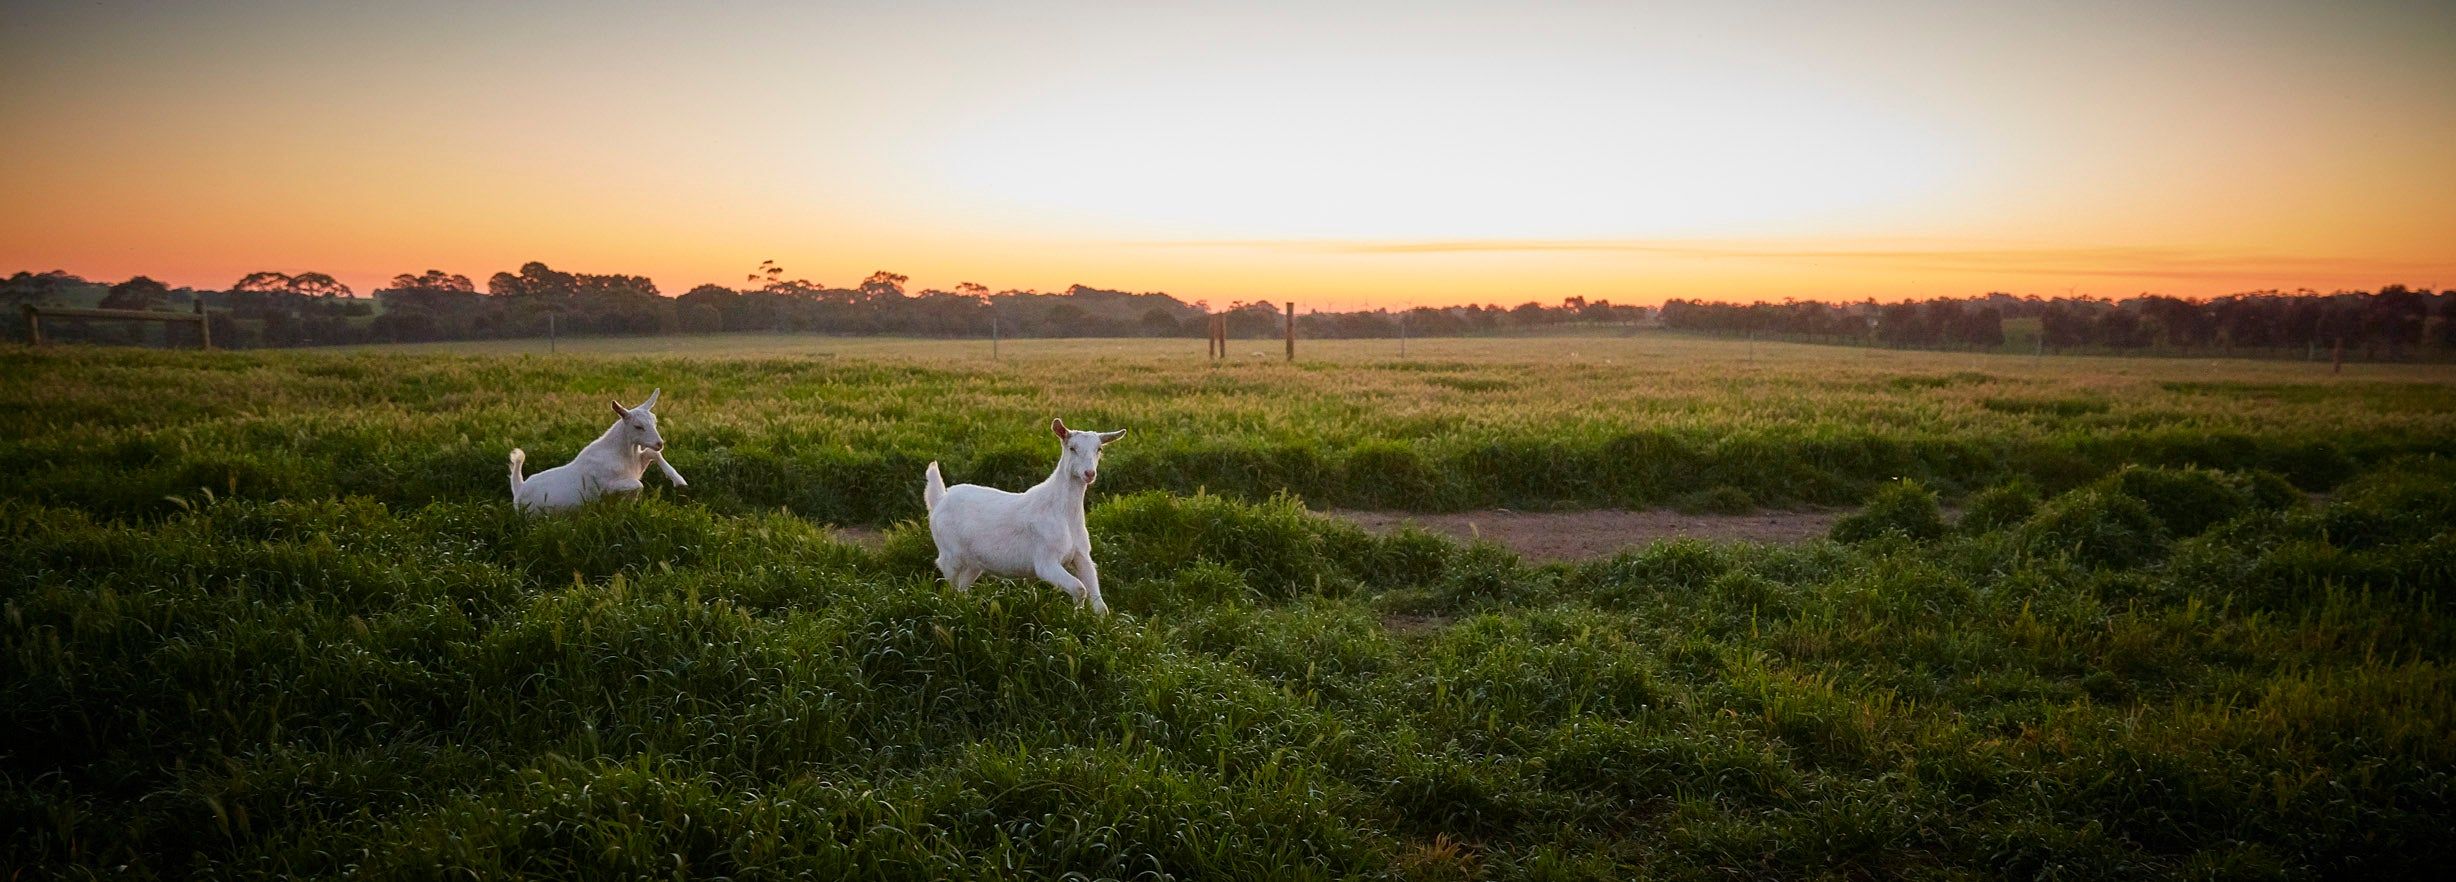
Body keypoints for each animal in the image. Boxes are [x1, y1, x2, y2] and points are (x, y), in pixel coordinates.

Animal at [508, 389, 685, 515]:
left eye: (655, 422)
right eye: (638, 426)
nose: (659, 443)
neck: (621, 453)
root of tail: (519, 488)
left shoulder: (637, 465)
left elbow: (652, 453)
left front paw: (679, 480)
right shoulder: (607, 485)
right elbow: (638, 484)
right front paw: (627, 502)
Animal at [923, 418, 1126, 614]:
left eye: (1099, 449)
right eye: (1072, 448)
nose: (1089, 473)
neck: (1064, 513)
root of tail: (940, 499)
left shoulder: (1082, 555)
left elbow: (1100, 604)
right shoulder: (1045, 561)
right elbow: (1080, 588)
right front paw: (1076, 615)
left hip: (973, 563)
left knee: (962, 587)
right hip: (950, 554)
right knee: (950, 583)